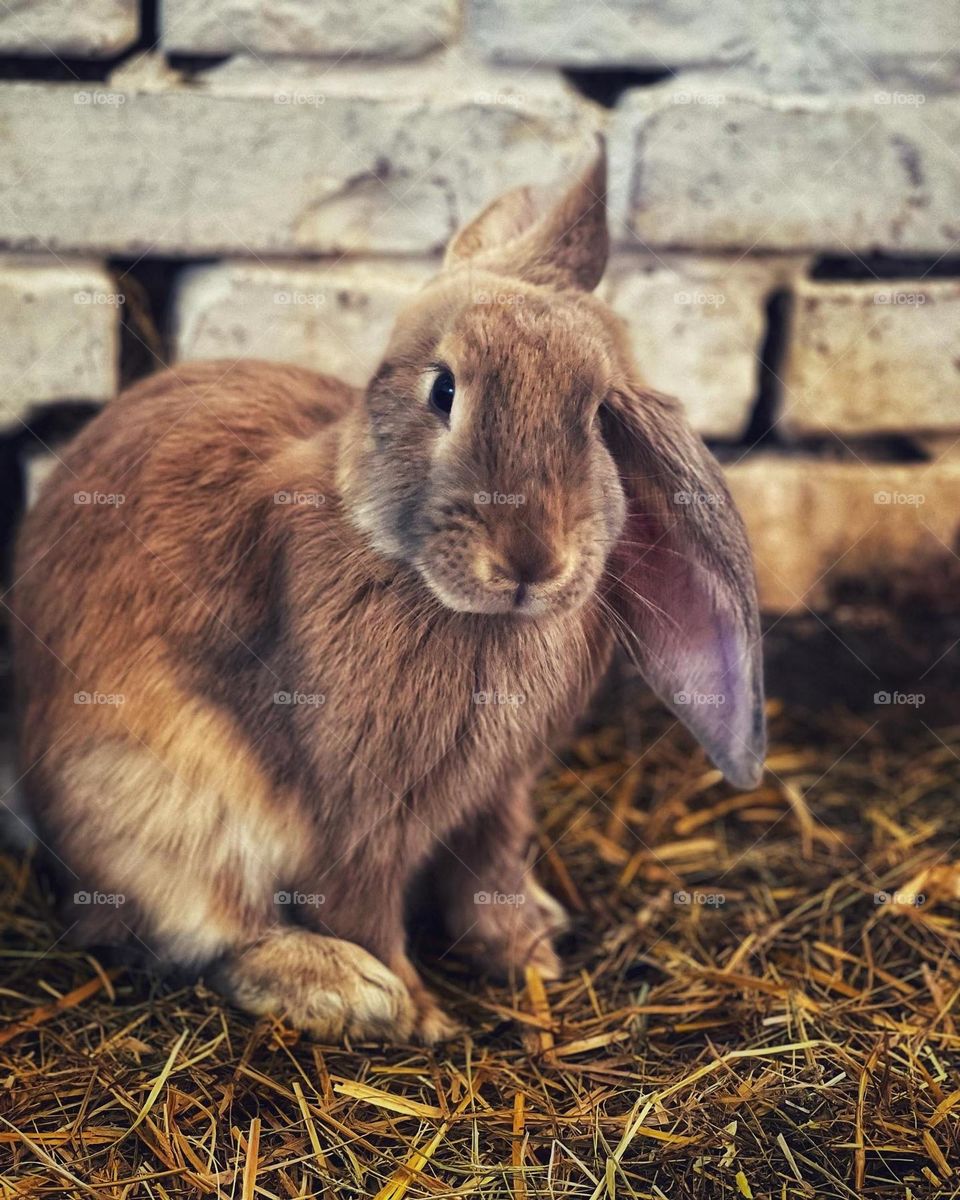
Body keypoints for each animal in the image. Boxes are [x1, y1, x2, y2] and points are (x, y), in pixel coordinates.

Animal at [8, 139, 764, 1044]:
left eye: (596, 417)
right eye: (444, 390)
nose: (530, 561)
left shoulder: (499, 794)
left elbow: (489, 868)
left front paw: (526, 954)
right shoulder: (358, 812)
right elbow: (362, 904)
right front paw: (422, 1016)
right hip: (152, 816)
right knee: (208, 934)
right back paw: (347, 990)